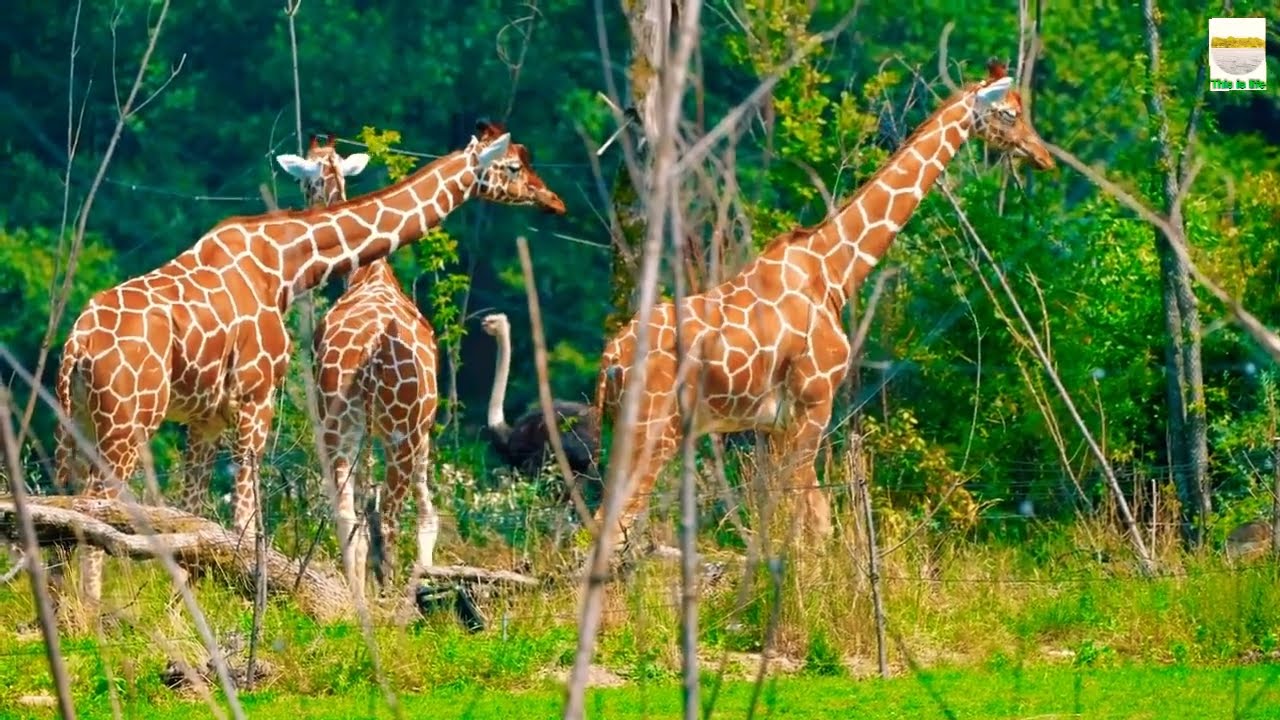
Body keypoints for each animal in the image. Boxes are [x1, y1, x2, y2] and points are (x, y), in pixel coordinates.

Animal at [54, 122, 529, 609]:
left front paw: (187, 605)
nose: (543, 194)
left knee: (65, 504)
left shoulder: (206, 416)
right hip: (130, 421)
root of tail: (78, 342)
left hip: (76, 418)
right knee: (96, 504)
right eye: (513, 165)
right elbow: (243, 519)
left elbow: (192, 514)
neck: (286, 262)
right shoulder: (255, 397)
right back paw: (91, 612)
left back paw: (64, 608)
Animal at [294, 124, 566, 596]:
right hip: (399, 432)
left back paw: (359, 597)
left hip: (341, 425)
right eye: (515, 165)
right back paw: (386, 596)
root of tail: (370, 352)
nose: (554, 201)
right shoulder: (421, 429)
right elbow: (427, 516)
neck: (371, 274)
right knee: (386, 516)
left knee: (349, 513)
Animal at [593, 60, 1055, 551]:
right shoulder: (814, 402)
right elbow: (813, 520)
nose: (1042, 156)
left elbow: (788, 514)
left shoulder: (773, 425)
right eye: (1009, 113)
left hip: (627, 430)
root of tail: (609, 361)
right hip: (654, 430)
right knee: (613, 521)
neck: (834, 272)